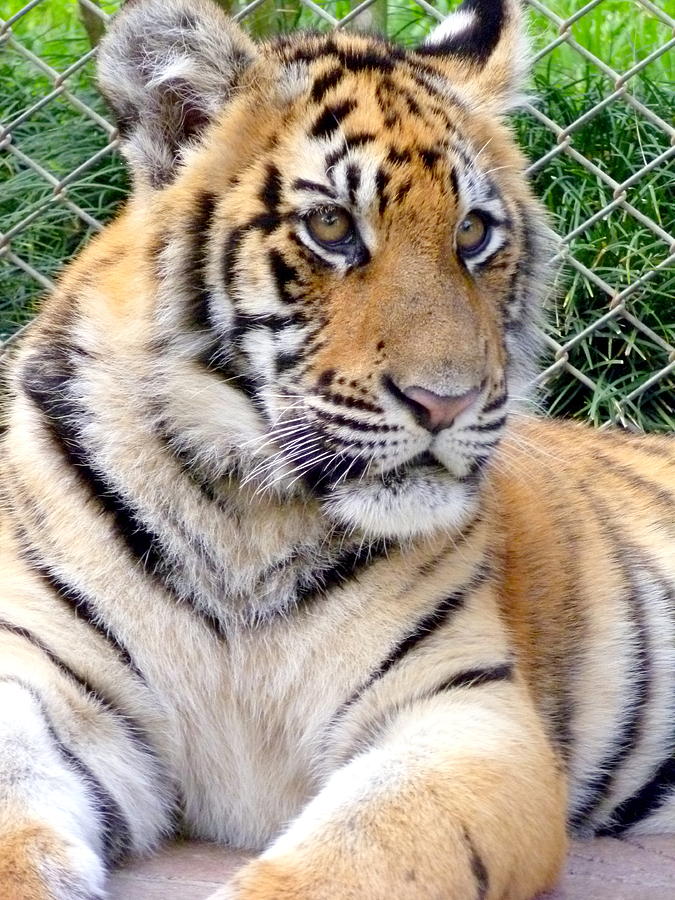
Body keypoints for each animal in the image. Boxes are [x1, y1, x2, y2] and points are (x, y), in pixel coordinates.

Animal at [1, 0, 675, 896]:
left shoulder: (462, 711)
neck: (241, 514)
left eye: (472, 233)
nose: (446, 401)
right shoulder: (38, 679)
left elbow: (352, 857)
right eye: (331, 226)